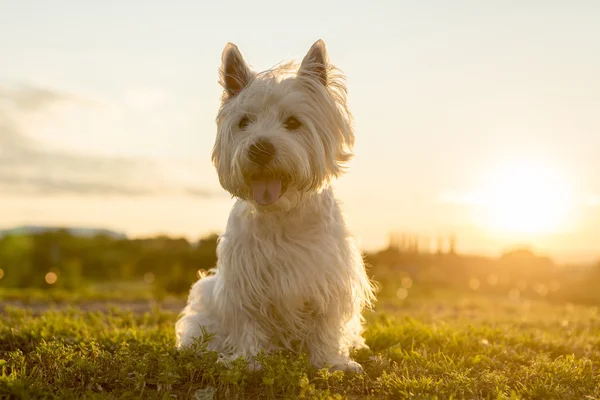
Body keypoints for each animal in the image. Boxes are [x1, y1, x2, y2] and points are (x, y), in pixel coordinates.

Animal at [173, 39, 378, 372]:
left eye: (293, 122)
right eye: (244, 122)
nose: (260, 148)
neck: (282, 213)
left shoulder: (329, 278)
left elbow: (326, 324)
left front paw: (331, 362)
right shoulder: (246, 283)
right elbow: (251, 324)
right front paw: (251, 361)